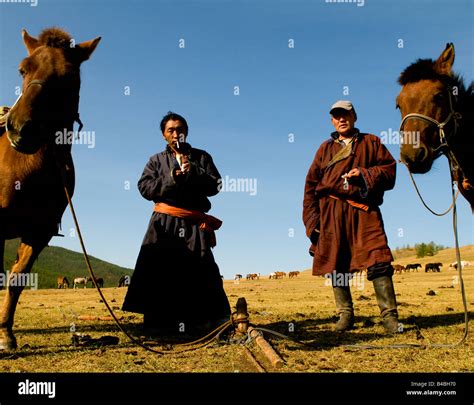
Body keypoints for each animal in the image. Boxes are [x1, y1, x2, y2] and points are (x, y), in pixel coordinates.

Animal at [0, 29, 100, 350]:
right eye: (23, 69)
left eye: (69, 77)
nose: (22, 128)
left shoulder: (39, 232)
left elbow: (17, 279)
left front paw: (6, 334)